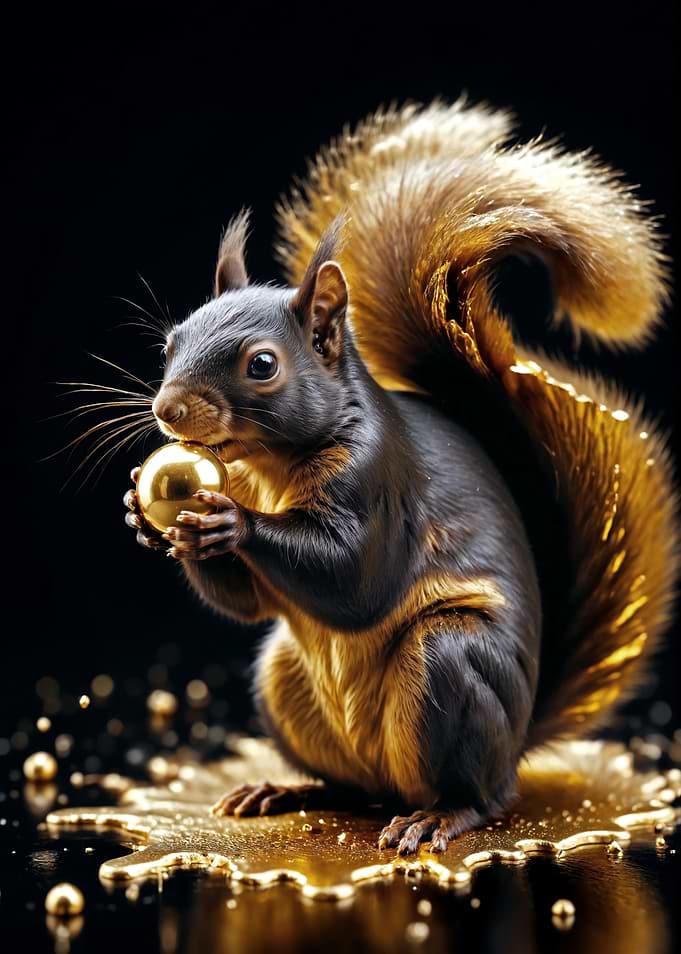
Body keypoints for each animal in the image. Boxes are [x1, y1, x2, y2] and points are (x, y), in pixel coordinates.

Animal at [123, 99, 678, 855]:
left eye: (262, 365)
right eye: (171, 342)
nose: (166, 409)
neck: (266, 467)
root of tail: (518, 739)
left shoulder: (378, 478)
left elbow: (356, 580)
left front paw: (230, 522)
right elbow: (251, 604)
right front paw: (146, 512)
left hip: (448, 663)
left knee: (484, 795)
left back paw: (438, 816)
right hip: (285, 683)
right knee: (350, 786)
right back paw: (287, 790)